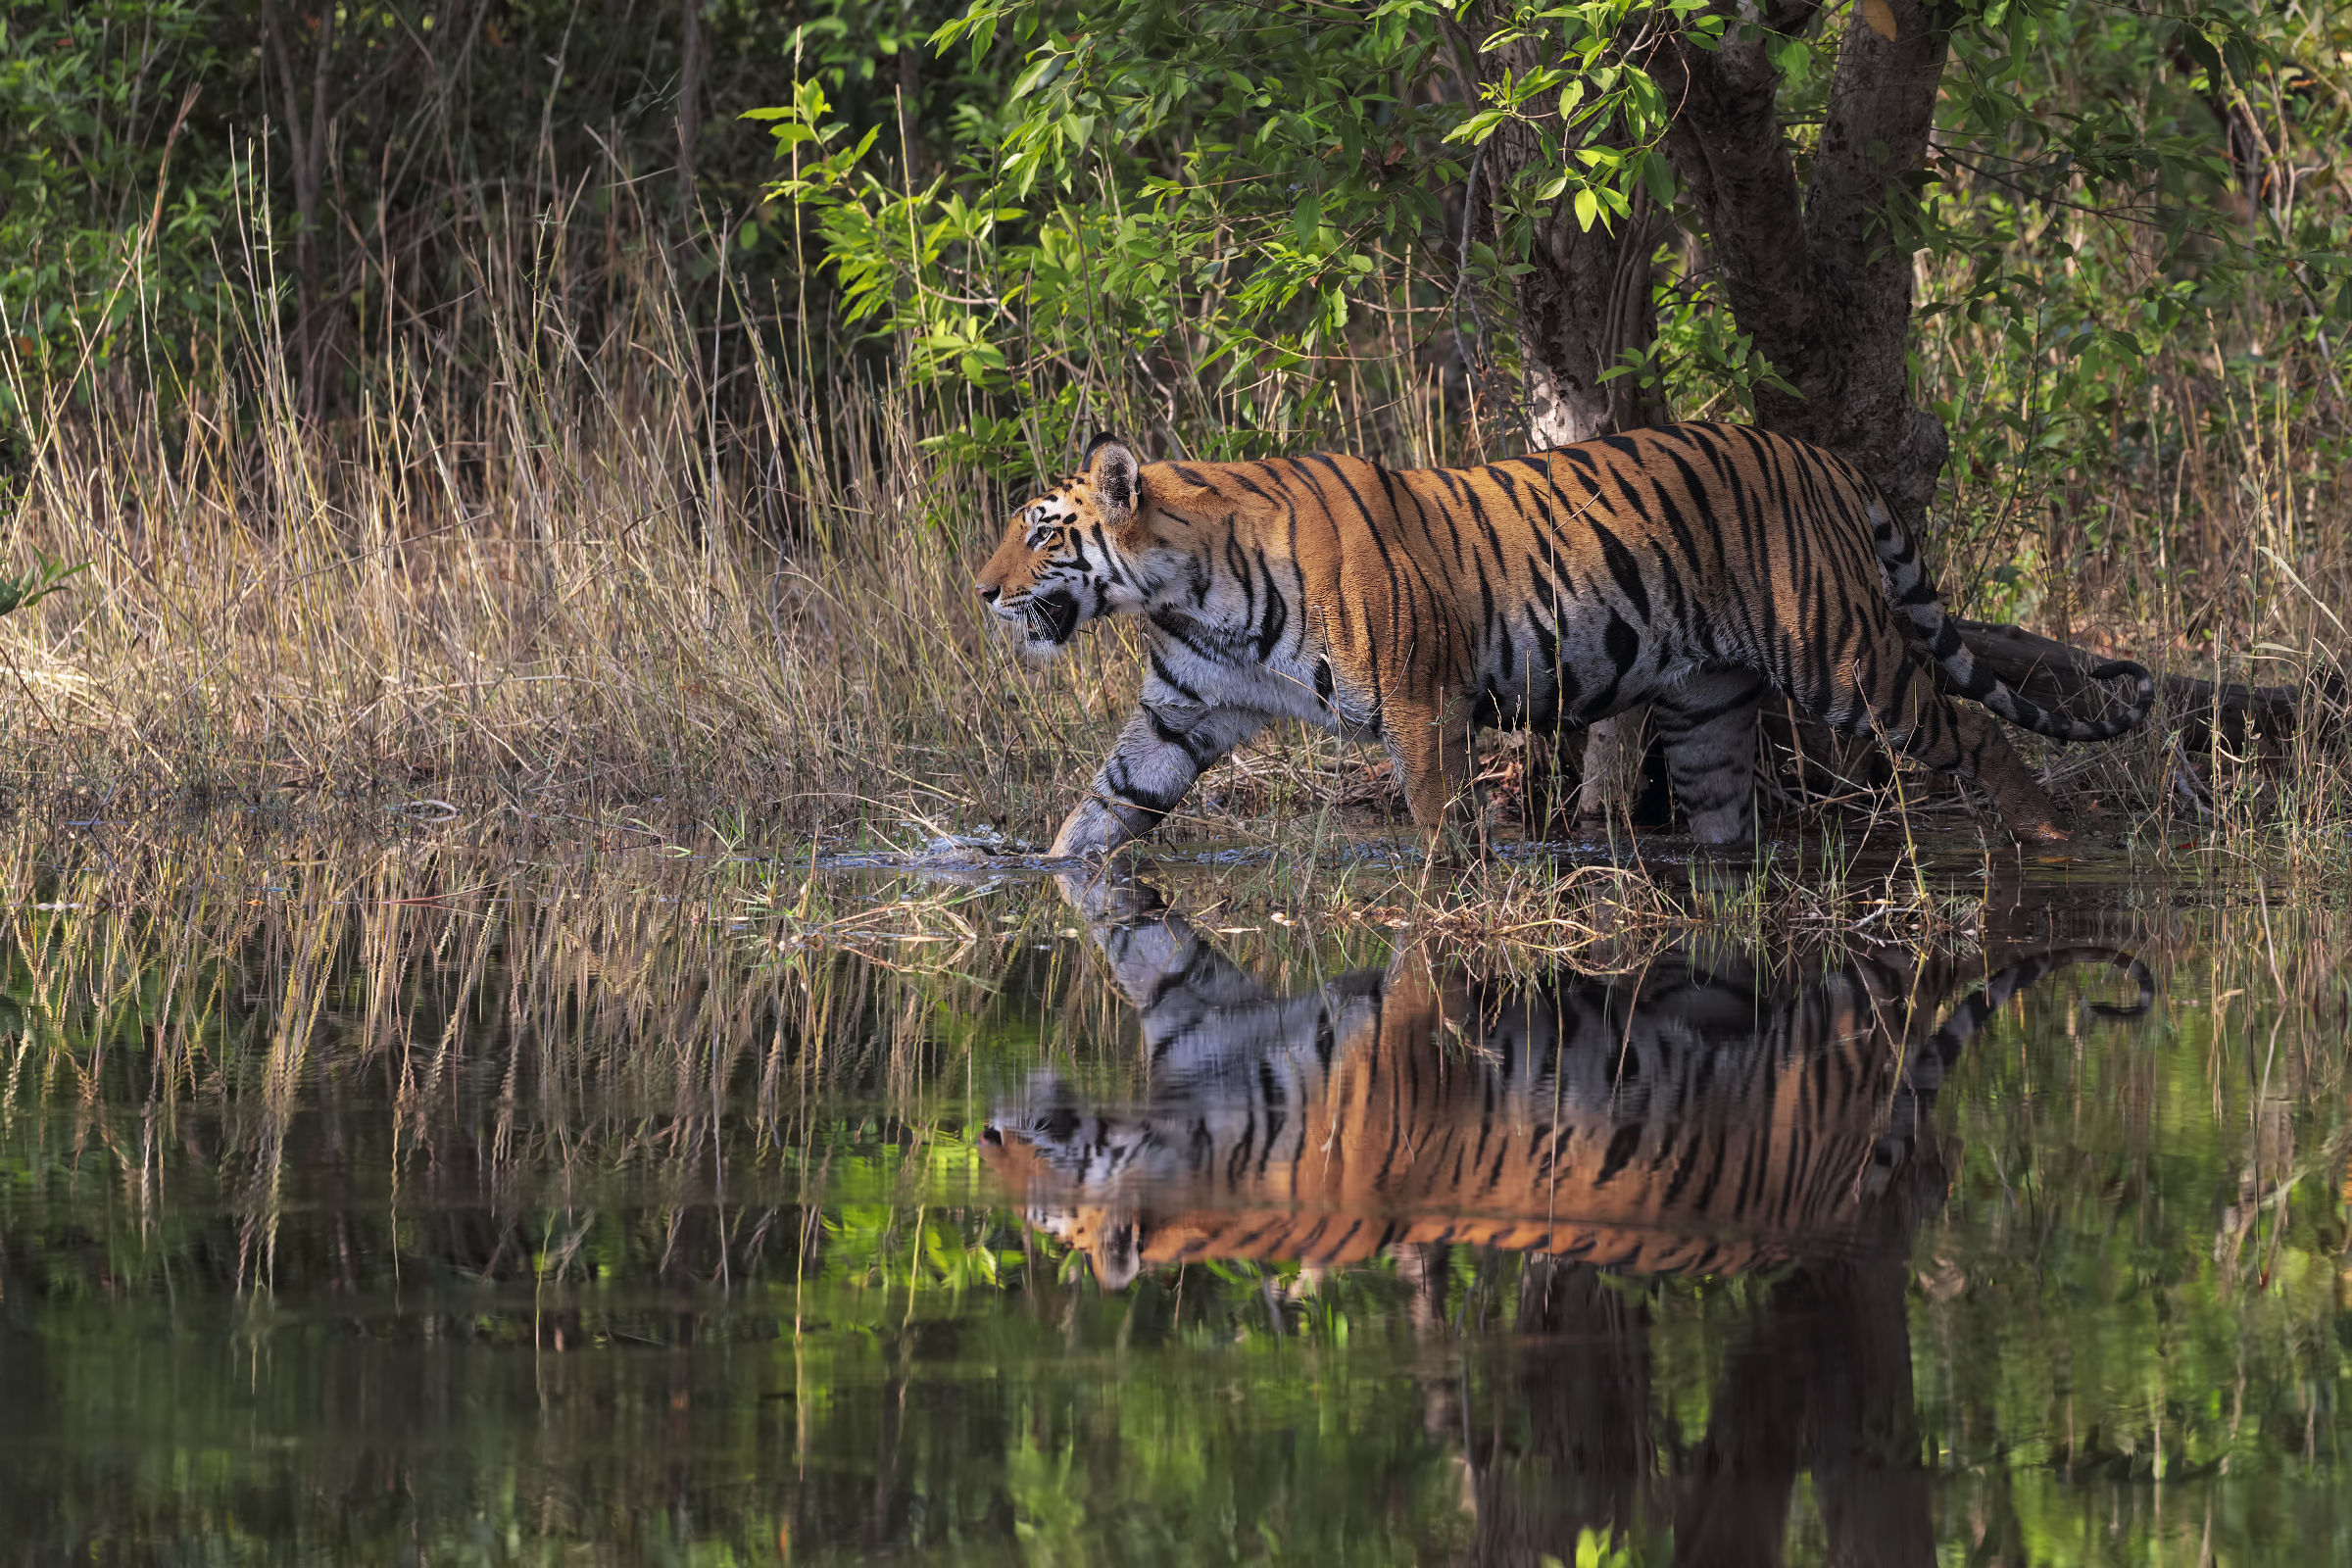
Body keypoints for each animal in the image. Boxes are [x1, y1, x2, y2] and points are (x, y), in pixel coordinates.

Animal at [972, 423, 2155, 856]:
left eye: (1039, 532)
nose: (981, 593)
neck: (1187, 592)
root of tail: (1814, 450)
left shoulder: (1424, 701)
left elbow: (1438, 820)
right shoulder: (1182, 710)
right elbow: (1103, 805)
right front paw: (1045, 873)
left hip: (1841, 656)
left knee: (1972, 726)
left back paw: (2052, 838)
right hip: (1707, 705)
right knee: (1725, 812)